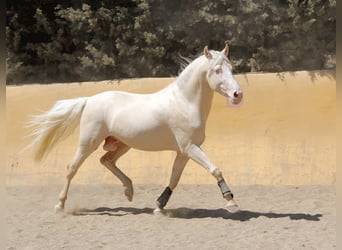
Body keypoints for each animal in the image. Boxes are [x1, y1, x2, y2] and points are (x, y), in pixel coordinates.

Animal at [28, 42, 244, 213]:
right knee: (72, 168)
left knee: (106, 160)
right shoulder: (190, 147)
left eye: (231, 68)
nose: (237, 94)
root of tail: (89, 100)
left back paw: (129, 191)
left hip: (123, 144)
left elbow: (174, 178)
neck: (184, 103)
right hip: (88, 142)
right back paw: (60, 205)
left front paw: (159, 206)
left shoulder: (184, 151)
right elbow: (215, 169)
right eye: (217, 70)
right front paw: (230, 200)